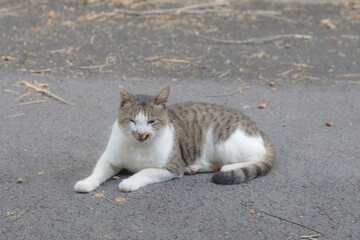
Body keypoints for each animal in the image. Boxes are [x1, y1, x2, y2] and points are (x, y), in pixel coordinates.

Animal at [74, 86, 274, 193]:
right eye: (132, 121)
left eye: (151, 121)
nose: (140, 133)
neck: (138, 147)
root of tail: (258, 128)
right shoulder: (109, 159)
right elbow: (98, 172)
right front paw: (87, 182)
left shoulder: (172, 167)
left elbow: (144, 172)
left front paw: (129, 182)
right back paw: (195, 167)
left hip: (226, 143)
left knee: (255, 158)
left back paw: (229, 167)